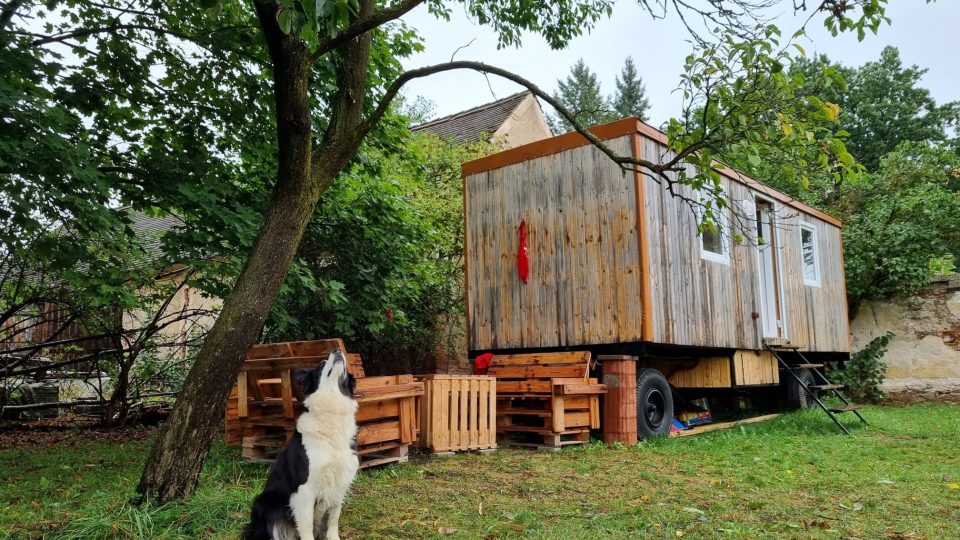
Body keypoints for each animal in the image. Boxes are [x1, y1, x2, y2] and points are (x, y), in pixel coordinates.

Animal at [240, 348, 360, 536]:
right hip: (264, 503)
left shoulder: (340, 482)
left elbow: (334, 519)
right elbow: (306, 526)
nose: (337, 349)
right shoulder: (304, 489)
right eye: (321, 364)